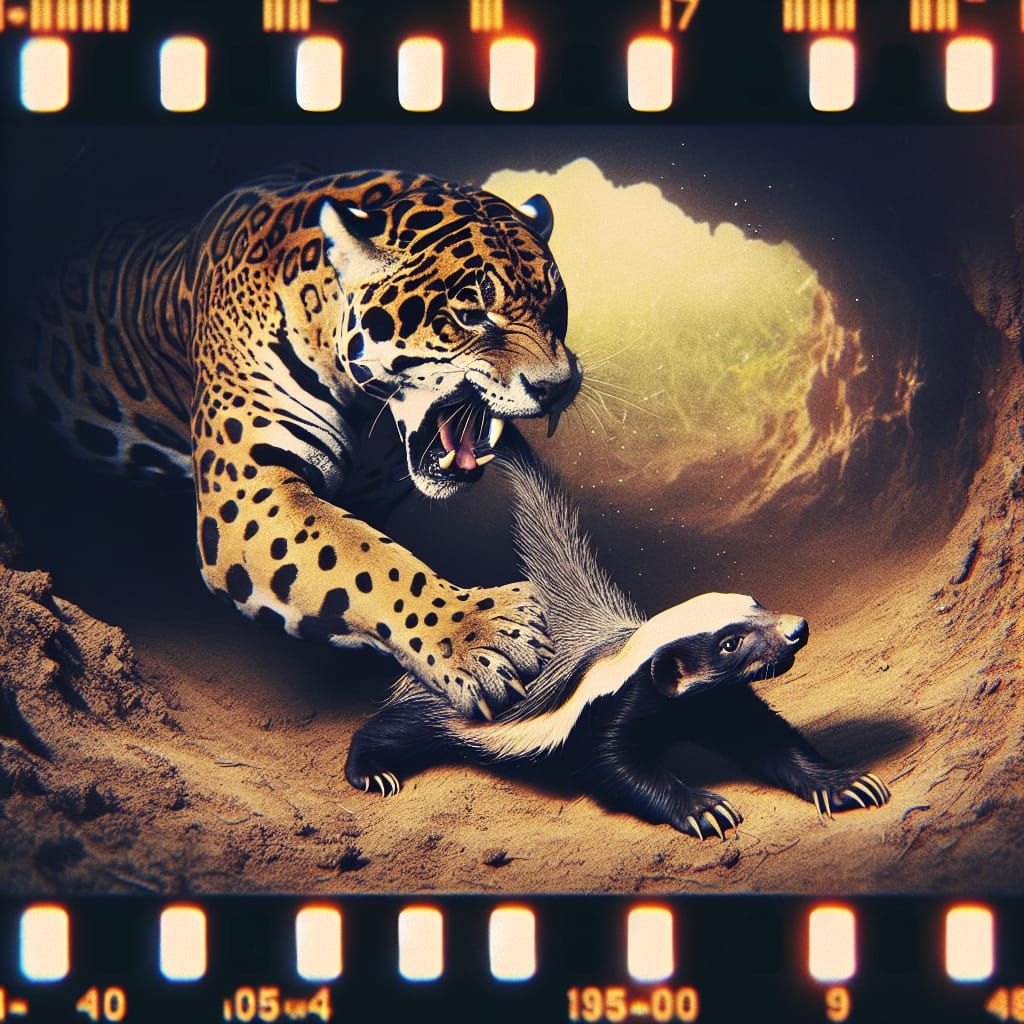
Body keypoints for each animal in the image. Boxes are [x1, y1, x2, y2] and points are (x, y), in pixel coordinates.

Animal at [20, 167, 582, 721]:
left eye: (555, 308)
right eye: (470, 313)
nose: (558, 386)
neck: (367, 411)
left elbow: (365, 553)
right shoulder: (250, 492)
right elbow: (369, 562)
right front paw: (477, 633)